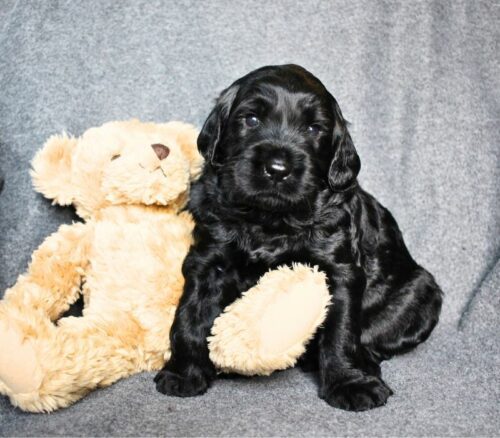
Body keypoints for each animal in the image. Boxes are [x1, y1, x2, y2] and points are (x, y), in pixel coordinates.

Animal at [155, 64, 442, 410]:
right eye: (252, 119)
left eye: (313, 128)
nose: (277, 169)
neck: (269, 219)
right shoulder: (208, 259)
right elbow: (190, 314)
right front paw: (183, 372)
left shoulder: (339, 270)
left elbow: (341, 330)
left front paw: (350, 382)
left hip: (422, 290)